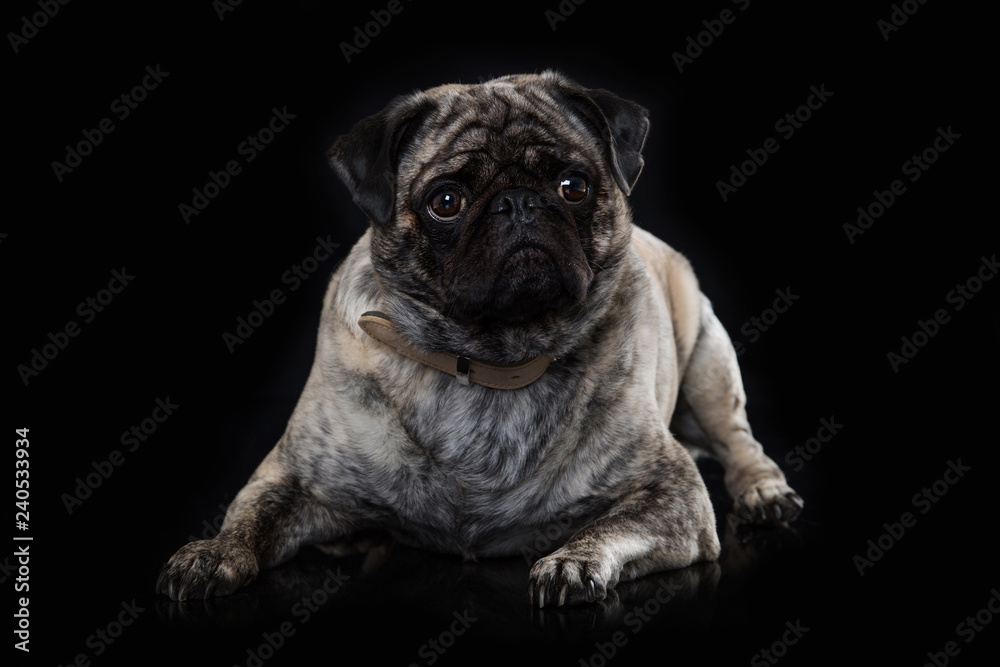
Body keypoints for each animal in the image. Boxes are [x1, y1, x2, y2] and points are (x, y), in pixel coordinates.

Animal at [158, 70, 804, 608]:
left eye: (573, 186)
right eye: (446, 201)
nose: (517, 204)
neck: (489, 359)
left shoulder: (671, 495)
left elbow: (609, 526)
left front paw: (572, 561)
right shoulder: (290, 476)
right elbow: (250, 519)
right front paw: (212, 553)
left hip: (710, 366)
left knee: (739, 441)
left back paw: (764, 493)